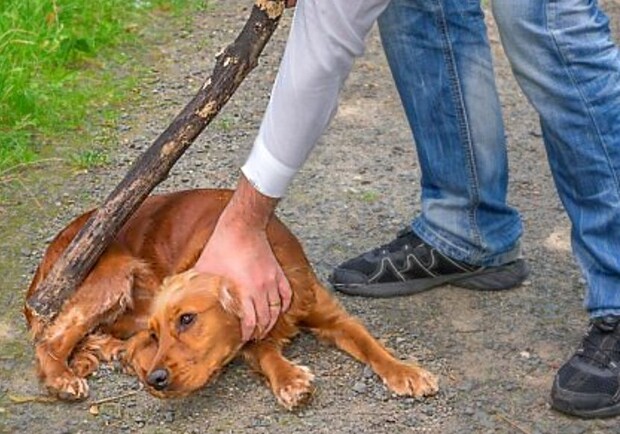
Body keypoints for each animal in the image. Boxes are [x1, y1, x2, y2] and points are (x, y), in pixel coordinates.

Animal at [25, 188, 440, 408]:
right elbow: (267, 354)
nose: (156, 380)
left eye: (187, 319)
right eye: (160, 334)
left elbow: (371, 344)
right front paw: (291, 379)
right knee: (51, 339)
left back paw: (108, 353)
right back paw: (63, 377)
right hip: (113, 275)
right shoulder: (249, 337)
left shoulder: (330, 314)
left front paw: (406, 371)